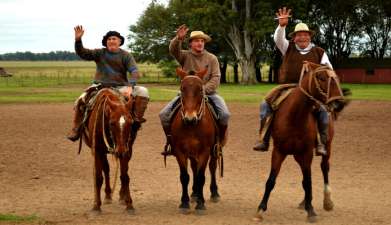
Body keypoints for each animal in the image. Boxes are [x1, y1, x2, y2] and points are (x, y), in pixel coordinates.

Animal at [170, 67, 222, 214]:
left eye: (200, 89)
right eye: (182, 89)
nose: (190, 118)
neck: (192, 126)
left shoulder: (205, 151)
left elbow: (201, 177)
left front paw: (200, 204)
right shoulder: (180, 152)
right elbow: (185, 177)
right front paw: (184, 203)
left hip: (214, 152)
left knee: (212, 168)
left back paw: (214, 193)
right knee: (194, 168)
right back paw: (194, 193)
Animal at [256, 61, 348, 221]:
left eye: (336, 78)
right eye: (321, 78)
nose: (339, 103)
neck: (295, 115)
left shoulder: (306, 153)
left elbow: (308, 181)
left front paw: (311, 210)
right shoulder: (279, 151)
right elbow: (271, 180)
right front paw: (261, 209)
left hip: (326, 147)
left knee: (324, 168)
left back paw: (327, 201)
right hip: (297, 155)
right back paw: (304, 201)